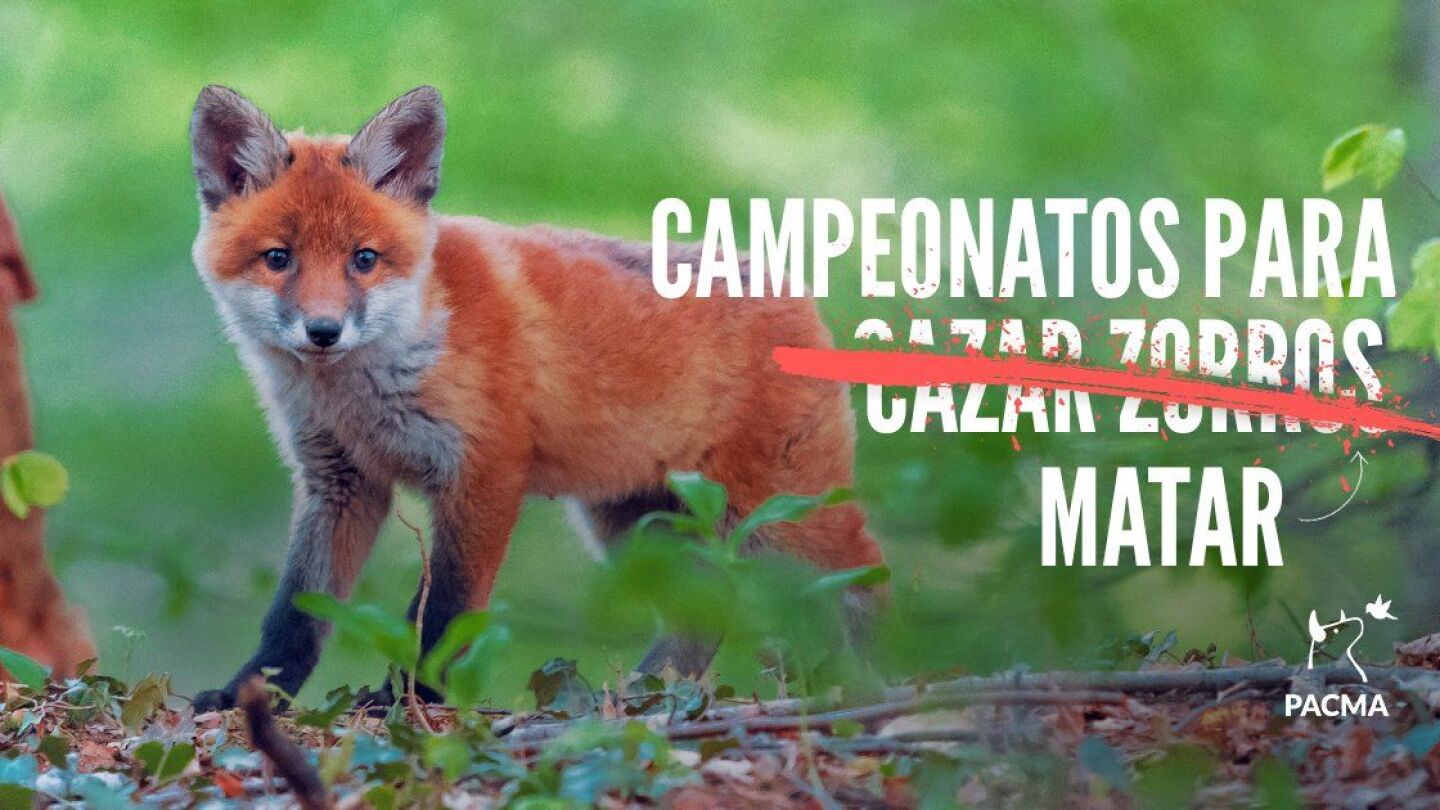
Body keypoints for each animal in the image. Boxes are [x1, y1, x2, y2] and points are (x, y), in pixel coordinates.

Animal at [187, 86, 885, 711]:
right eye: (279, 258)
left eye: (364, 259)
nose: (324, 331)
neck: (363, 393)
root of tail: (781, 278)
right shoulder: (338, 482)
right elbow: (296, 614)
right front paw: (250, 695)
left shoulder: (485, 472)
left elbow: (447, 610)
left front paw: (413, 700)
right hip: (636, 526)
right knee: (706, 612)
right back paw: (642, 698)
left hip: (780, 515)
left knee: (864, 580)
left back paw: (865, 685)